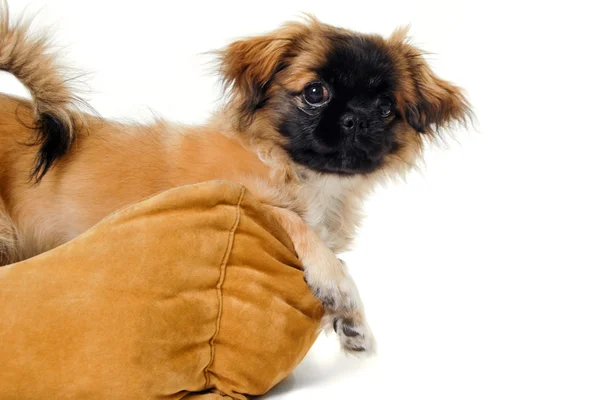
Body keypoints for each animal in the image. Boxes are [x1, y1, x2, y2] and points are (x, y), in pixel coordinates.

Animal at [0, 7, 468, 354]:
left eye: (386, 108)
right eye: (315, 92)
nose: (357, 119)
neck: (295, 171)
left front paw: (351, 323)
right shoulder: (249, 198)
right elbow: (295, 224)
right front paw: (338, 286)